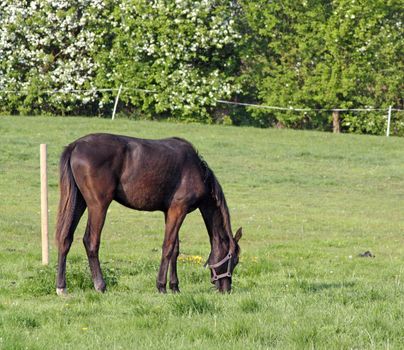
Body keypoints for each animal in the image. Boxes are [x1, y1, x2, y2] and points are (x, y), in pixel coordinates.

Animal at [54, 133, 241, 294]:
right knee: (90, 241)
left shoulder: (169, 212)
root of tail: (75, 146)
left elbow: (175, 249)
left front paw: (175, 286)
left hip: (79, 201)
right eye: (234, 260)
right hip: (98, 205)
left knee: (65, 238)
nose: (226, 289)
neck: (197, 171)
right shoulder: (178, 210)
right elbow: (168, 247)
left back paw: (61, 287)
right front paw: (161, 286)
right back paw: (100, 285)